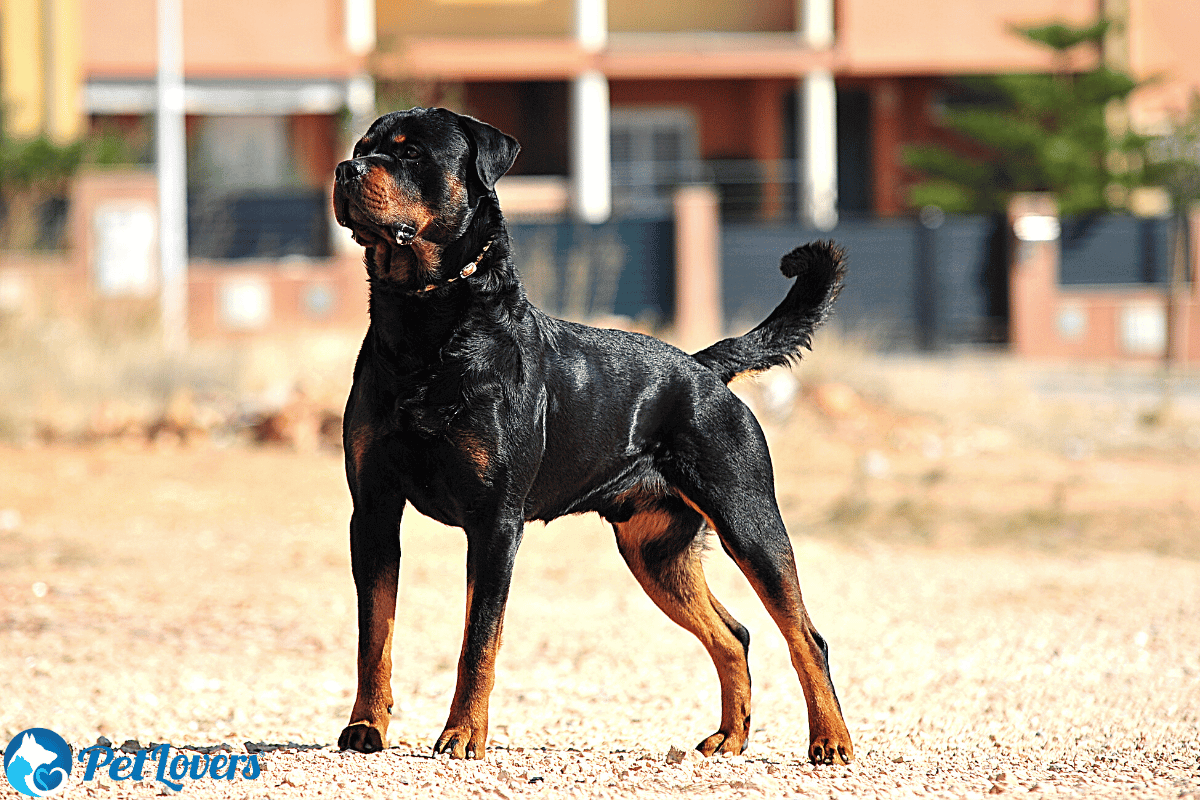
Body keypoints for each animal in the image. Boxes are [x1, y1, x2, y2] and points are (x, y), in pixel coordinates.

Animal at [328, 106, 854, 762]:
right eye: (362, 146)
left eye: (410, 153)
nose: (345, 169)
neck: (424, 323)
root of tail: (703, 367)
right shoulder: (373, 509)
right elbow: (374, 632)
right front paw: (366, 727)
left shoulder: (495, 522)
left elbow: (479, 640)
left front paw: (462, 735)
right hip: (655, 552)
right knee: (734, 634)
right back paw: (729, 737)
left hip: (748, 516)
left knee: (805, 633)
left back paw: (830, 739)